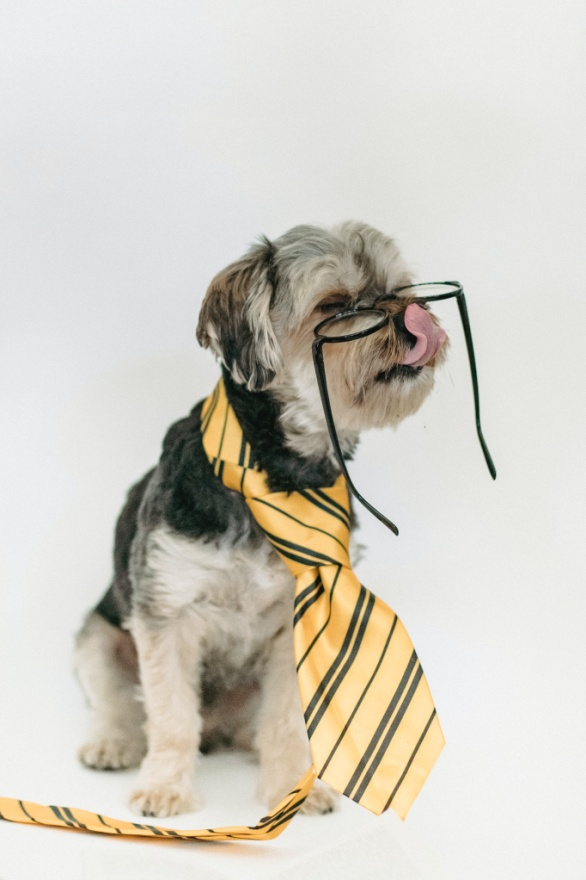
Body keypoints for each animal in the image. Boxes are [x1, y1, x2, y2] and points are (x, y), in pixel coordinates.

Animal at [74, 220, 448, 820]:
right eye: (336, 306)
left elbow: (286, 719)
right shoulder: (167, 613)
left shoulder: (297, 624)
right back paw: (113, 742)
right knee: (123, 704)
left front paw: (293, 788)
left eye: (403, 289)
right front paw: (165, 788)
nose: (417, 318)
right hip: (98, 637)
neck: (280, 478)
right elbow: (171, 715)